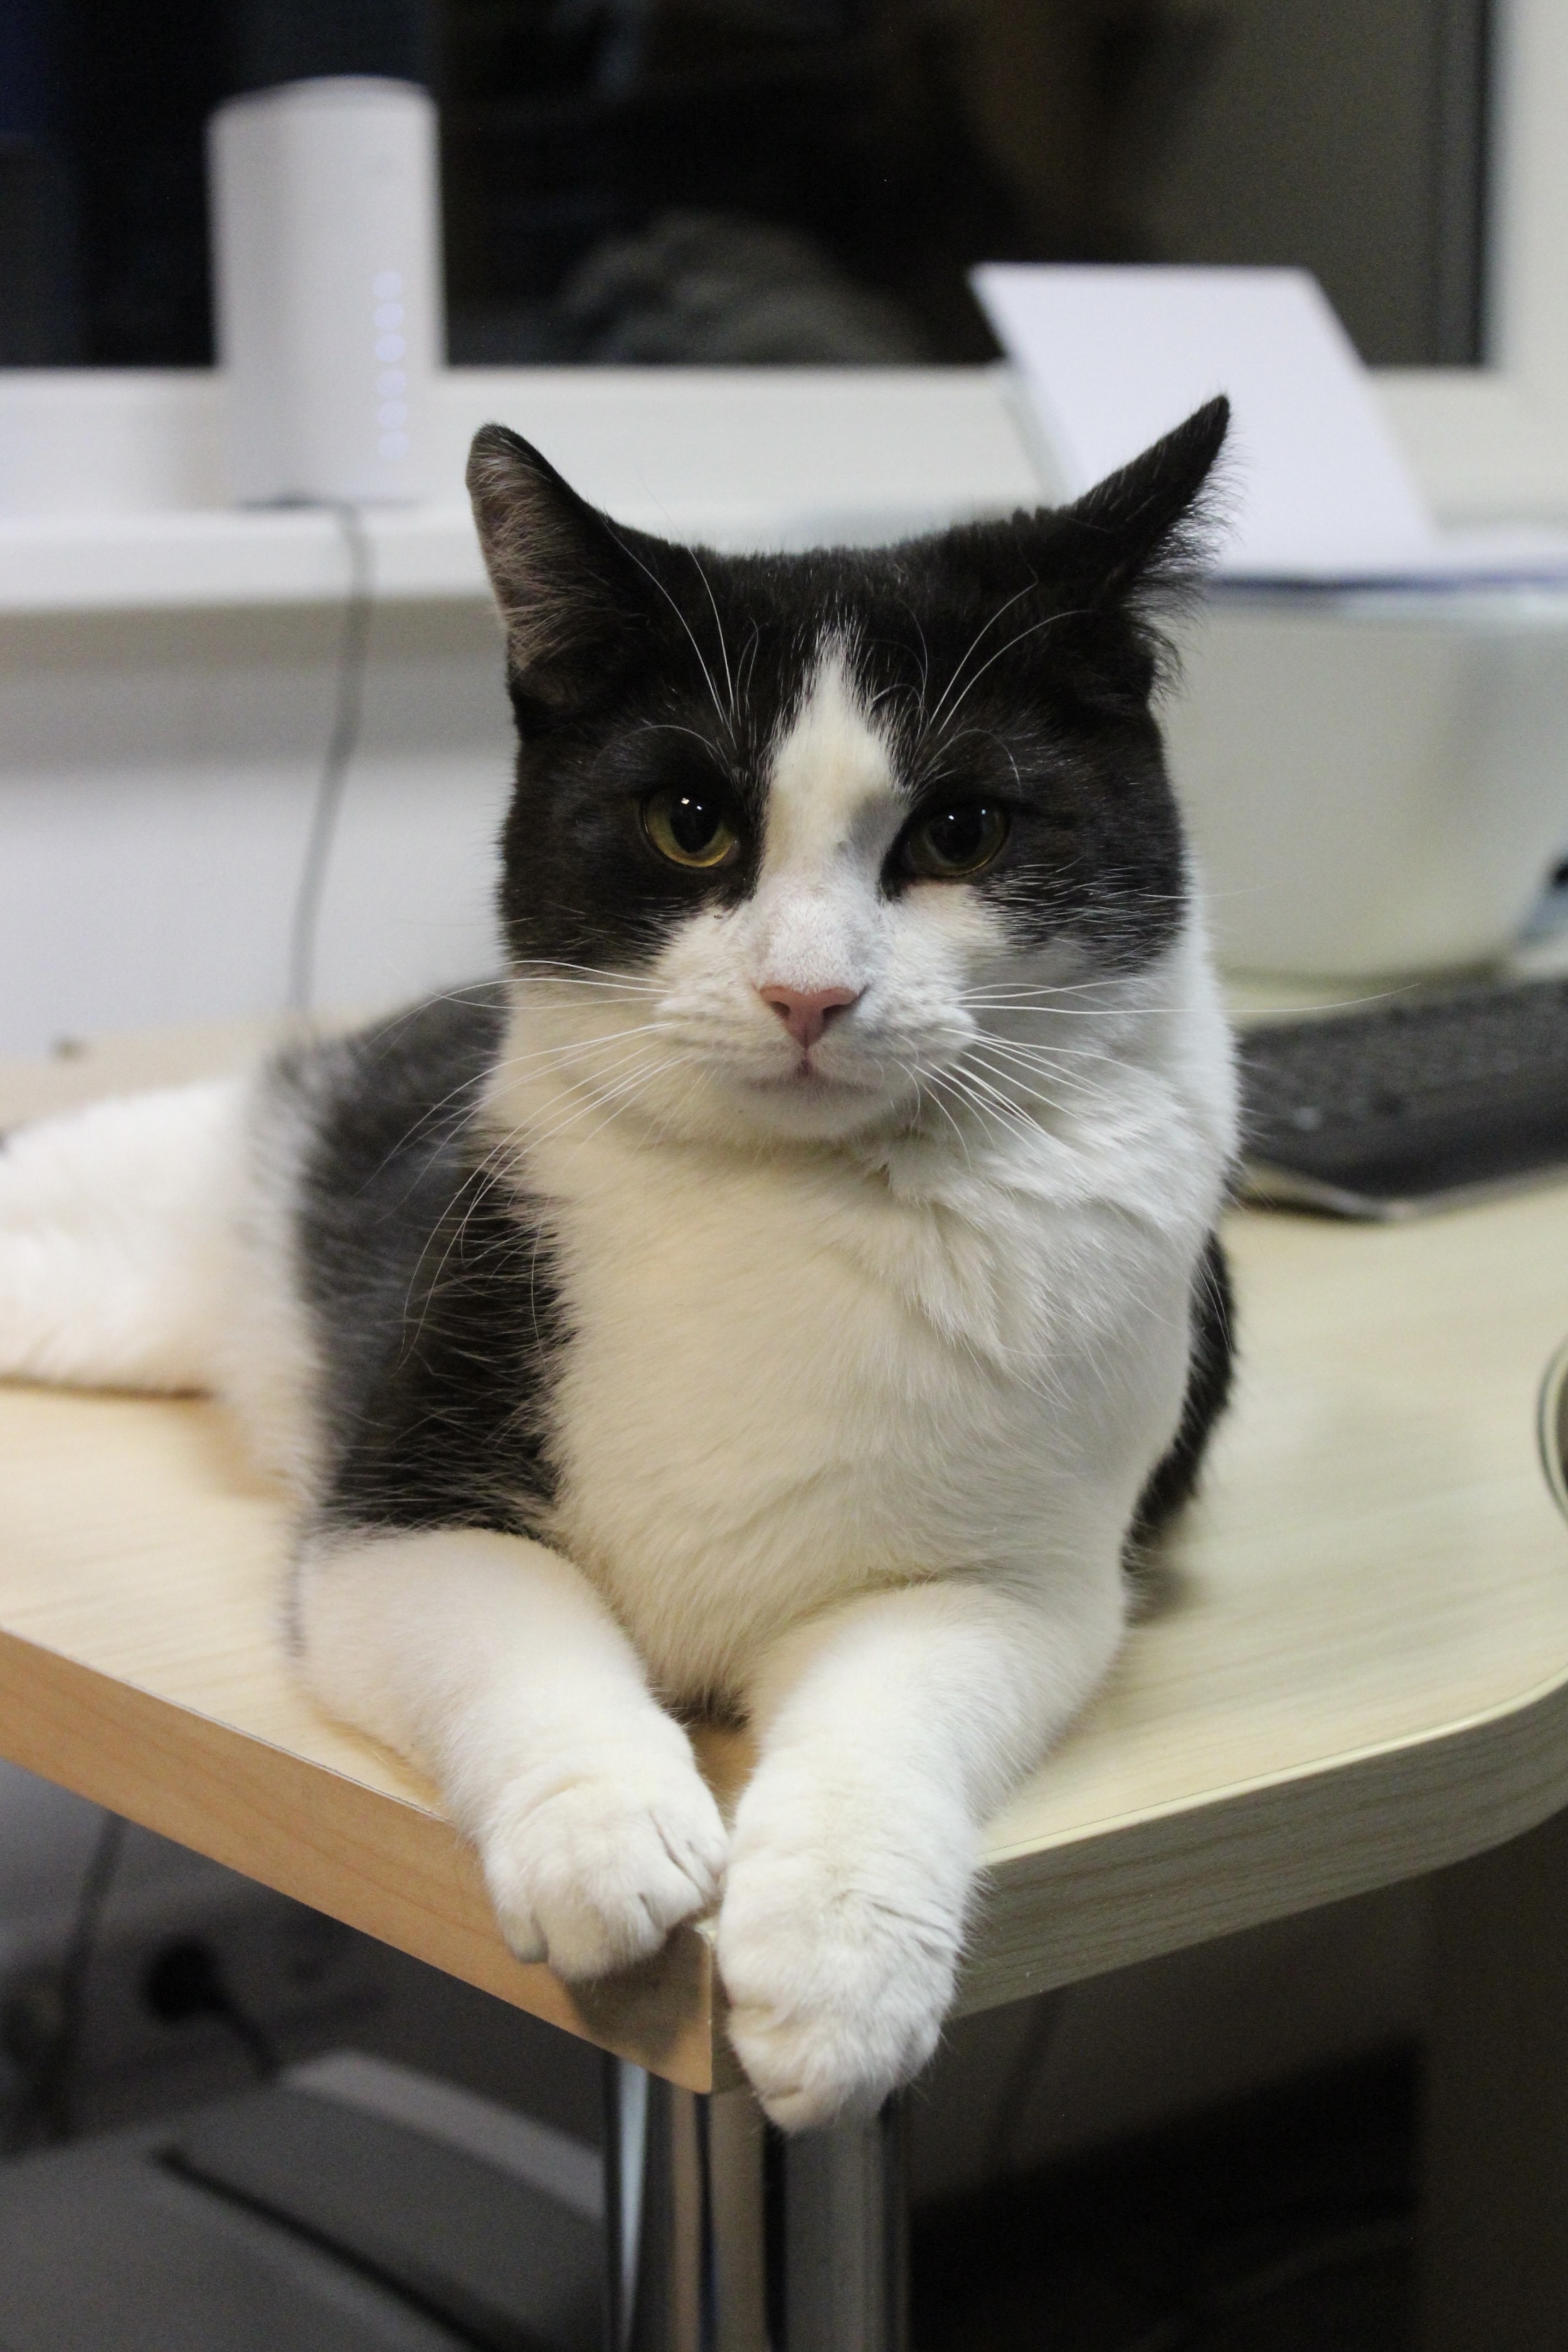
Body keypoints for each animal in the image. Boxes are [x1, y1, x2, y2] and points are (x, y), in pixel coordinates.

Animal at [0, 397, 1238, 2129]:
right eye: (689, 824)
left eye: (961, 829)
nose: (807, 993)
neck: (778, 1205)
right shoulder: (393, 1508)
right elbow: (512, 1626)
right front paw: (601, 1832)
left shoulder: (1023, 1577)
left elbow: (900, 1702)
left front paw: (833, 1963)